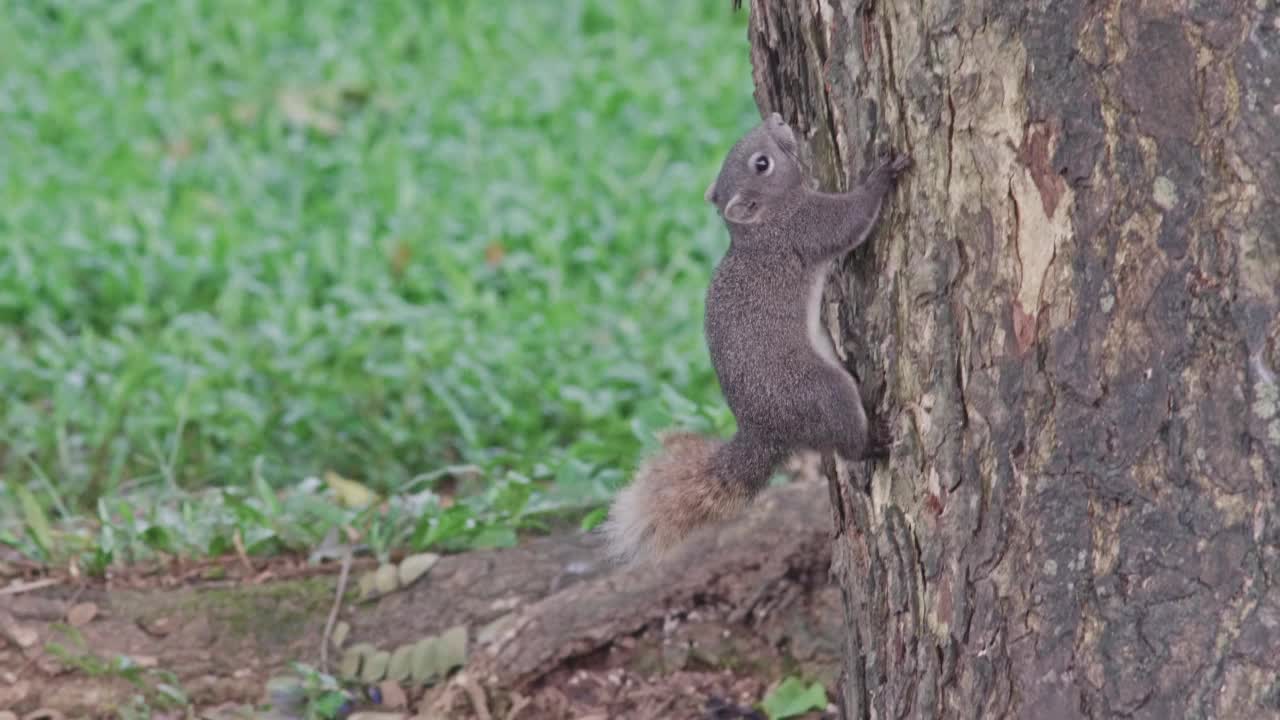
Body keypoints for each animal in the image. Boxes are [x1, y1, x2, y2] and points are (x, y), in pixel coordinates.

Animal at [601, 110, 911, 561]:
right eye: (761, 164)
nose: (778, 118)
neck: (762, 226)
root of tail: (766, 431)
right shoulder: (805, 228)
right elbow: (851, 220)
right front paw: (881, 176)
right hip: (821, 392)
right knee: (846, 443)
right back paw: (875, 442)